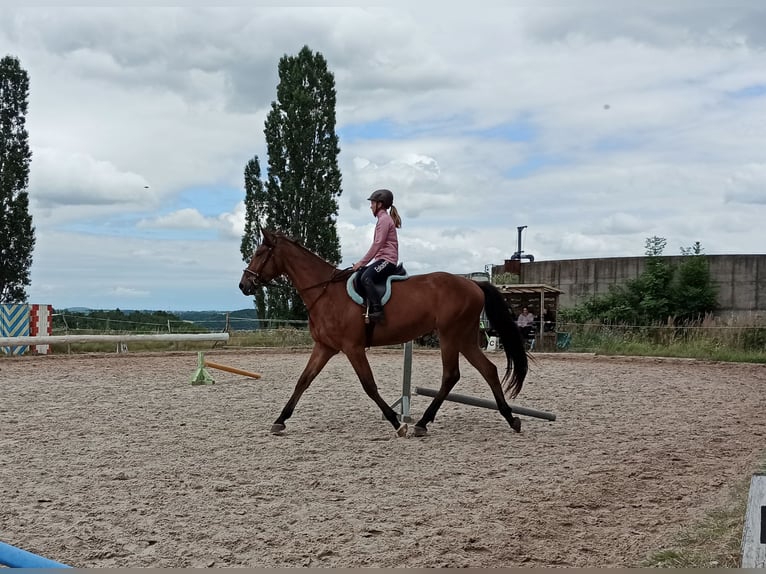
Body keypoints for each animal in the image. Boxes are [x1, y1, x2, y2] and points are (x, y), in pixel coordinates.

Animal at [238, 227, 528, 438]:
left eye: (260, 253)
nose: (243, 284)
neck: (326, 293)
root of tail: (475, 285)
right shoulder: (325, 347)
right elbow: (303, 381)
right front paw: (280, 420)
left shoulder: (352, 347)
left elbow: (369, 385)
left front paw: (397, 423)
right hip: (465, 338)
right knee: (488, 370)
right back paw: (510, 418)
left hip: (450, 335)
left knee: (451, 375)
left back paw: (422, 423)